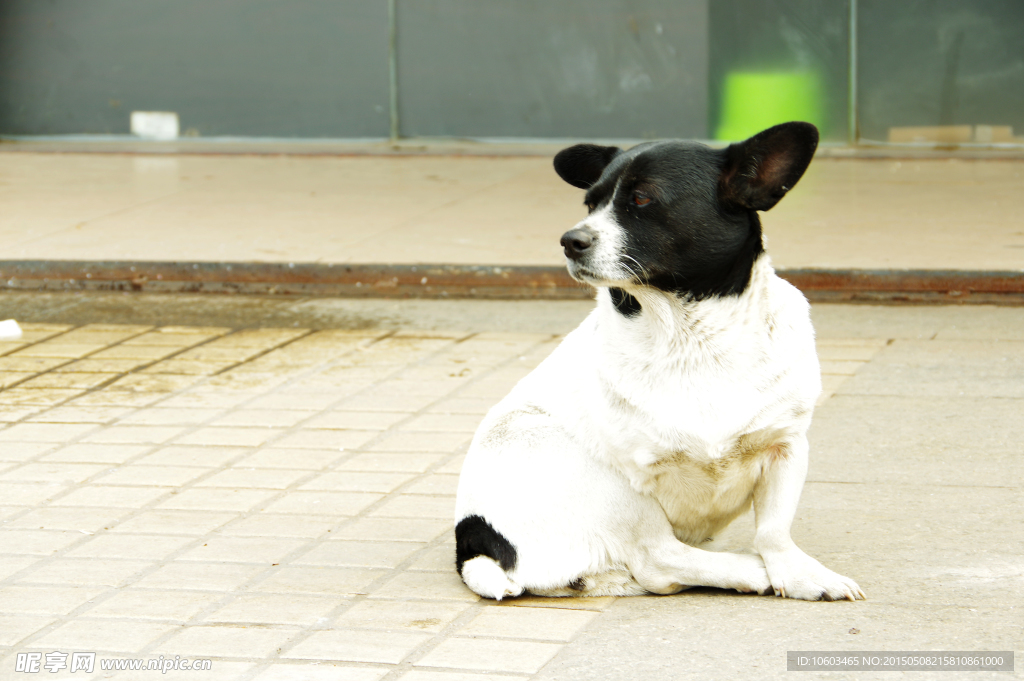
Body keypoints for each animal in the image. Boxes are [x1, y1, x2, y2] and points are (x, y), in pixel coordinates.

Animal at [456, 122, 864, 602]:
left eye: (641, 199)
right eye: (590, 204)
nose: (570, 240)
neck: (689, 334)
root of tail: (474, 542)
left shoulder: (785, 446)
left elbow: (774, 530)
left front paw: (797, 573)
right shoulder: (637, 471)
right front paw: (777, 571)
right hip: (589, 470)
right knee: (658, 560)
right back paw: (745, 571)